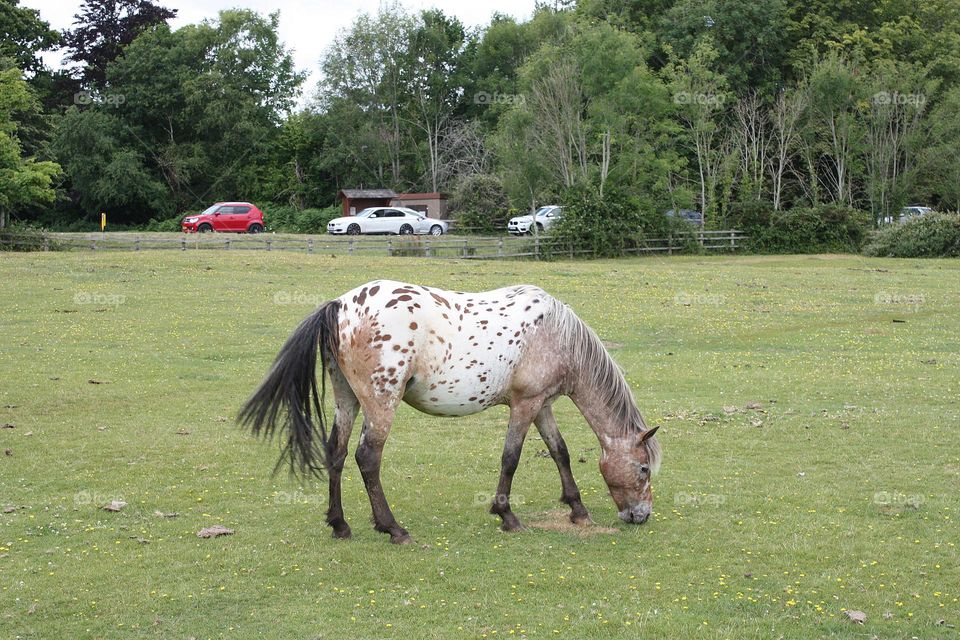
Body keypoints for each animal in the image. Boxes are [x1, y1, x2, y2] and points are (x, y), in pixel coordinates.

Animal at [239, 280, 661, 544]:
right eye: (643, 469)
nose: (641, 516)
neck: (557, 334)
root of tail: (340, 306)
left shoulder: (541, 405)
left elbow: (560, 452)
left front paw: (578, 510)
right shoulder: (524, 405)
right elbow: (511, 458)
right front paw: (507, 516)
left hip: (348, 399)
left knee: (337, 453)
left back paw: (340, 525)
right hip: (380, 402)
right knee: (367, 457)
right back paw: (393, 529)